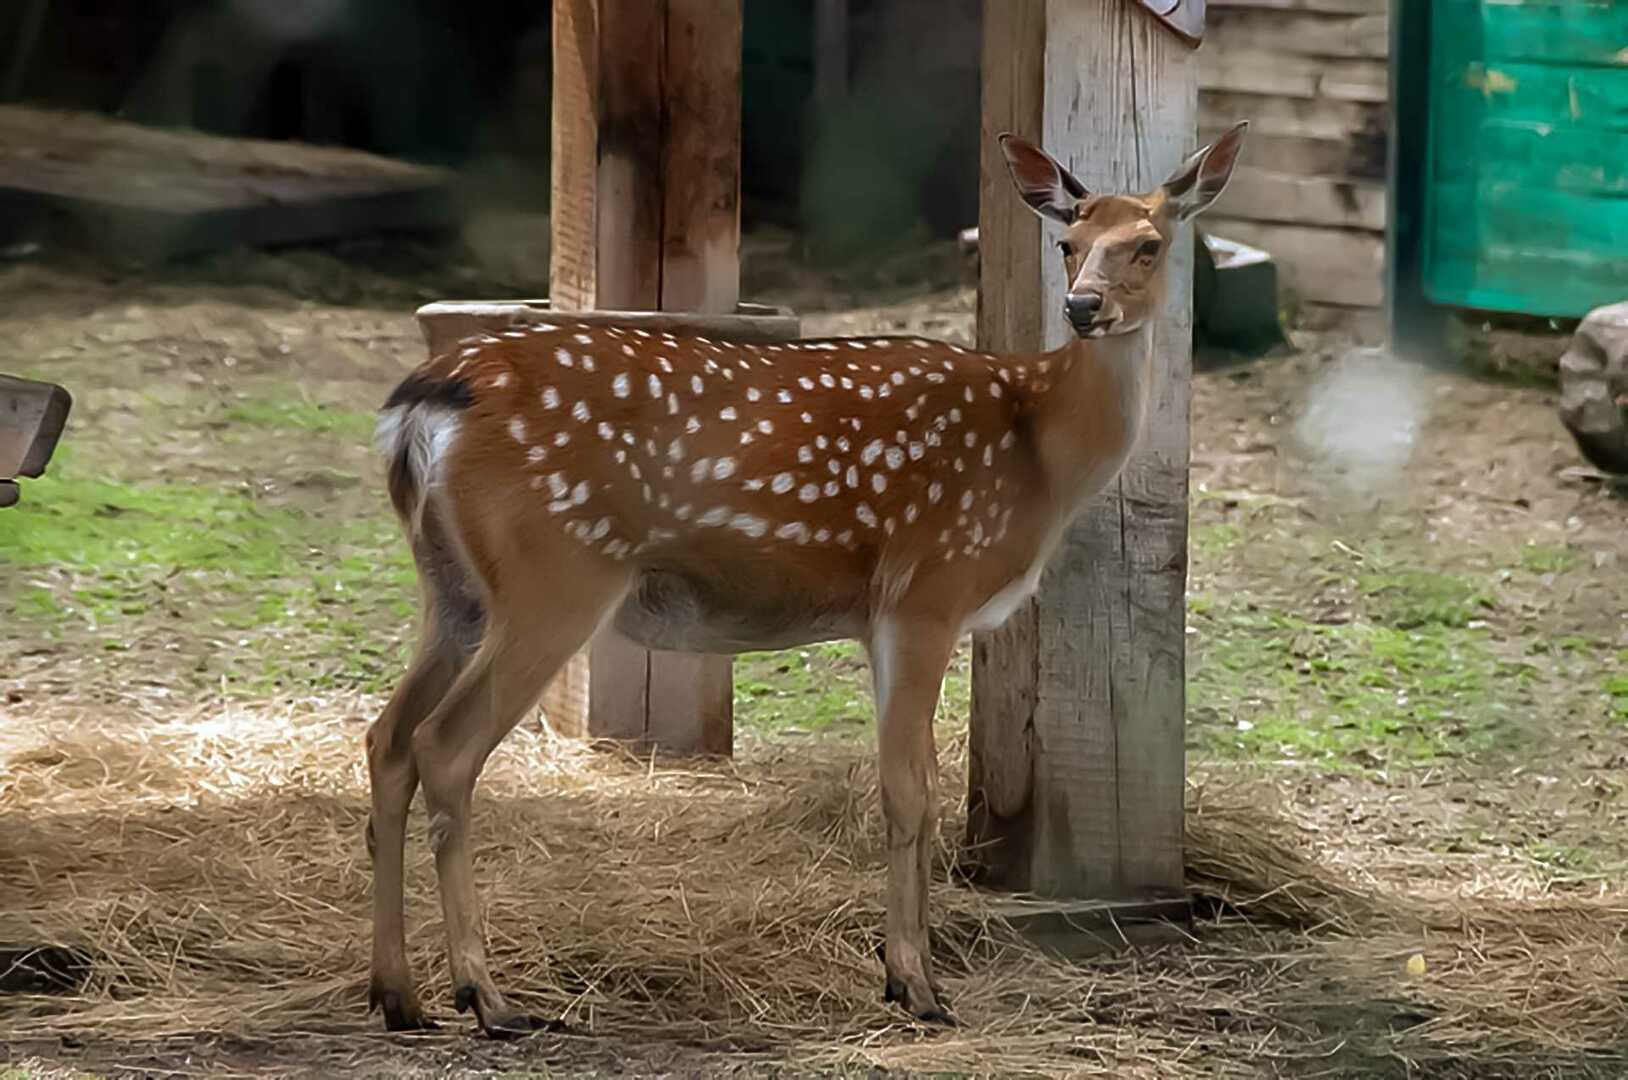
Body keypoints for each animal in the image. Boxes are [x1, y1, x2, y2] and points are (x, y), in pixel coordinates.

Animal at [363, 122, 1237, 1036]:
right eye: (1068, 243)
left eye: (1148, 243)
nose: (1083, 307)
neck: (1039, 449)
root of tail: (426, 401)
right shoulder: (929, 588)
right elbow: (907, 792)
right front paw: (916, 986)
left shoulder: (887, 613)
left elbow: (918, 785)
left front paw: (905, 974)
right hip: (555, 573)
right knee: (444, 746)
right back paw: (486, 995)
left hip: (454, 587)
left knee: (387, 738)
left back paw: (398, 995)